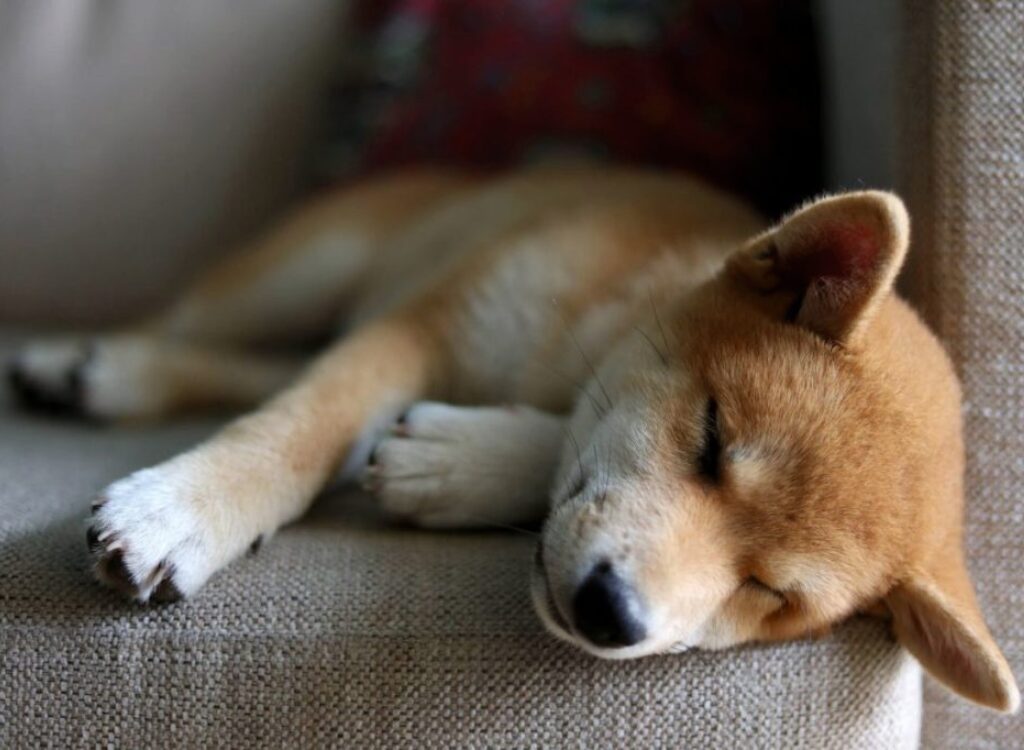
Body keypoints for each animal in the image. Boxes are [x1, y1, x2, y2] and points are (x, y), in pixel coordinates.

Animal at [9, 167, 1024, 713]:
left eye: (771, 596)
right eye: (711, 438)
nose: (614, 615)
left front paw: (456, 463)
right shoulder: (426, 326)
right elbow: (304, 428)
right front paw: (181, 509)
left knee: (253, 363)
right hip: (309, 268)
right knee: (199, 327)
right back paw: (83, 362)